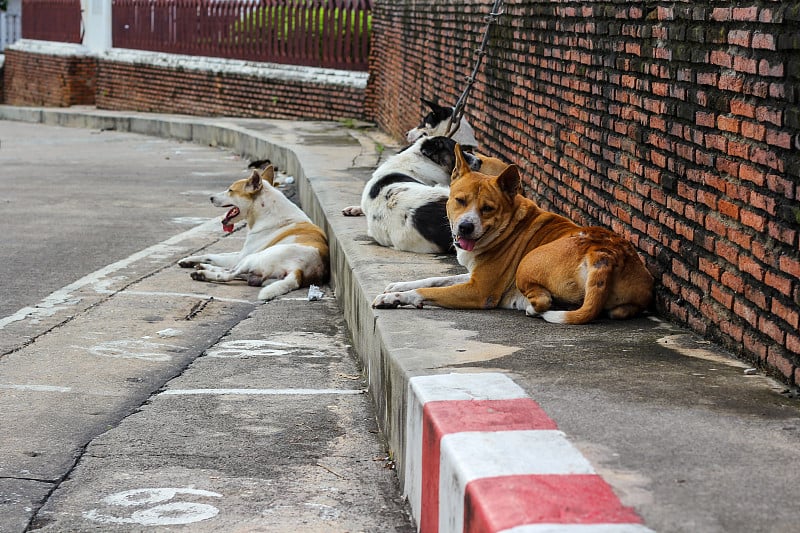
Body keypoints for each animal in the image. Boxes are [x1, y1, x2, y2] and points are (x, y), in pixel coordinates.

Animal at [180, 165, 328, 300]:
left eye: (230, 190)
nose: (210, 197)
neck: (267, 211)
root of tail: (299, 271)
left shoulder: (241, 256)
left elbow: (214, 256)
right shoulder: (241, 254)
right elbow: (214, 255)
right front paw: (188, 260)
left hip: (252, 258)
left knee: (228, 274)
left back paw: (203, 274)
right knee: (238, 273)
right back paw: (204, 268)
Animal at [372, 143, 652, 324]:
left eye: (487, 208)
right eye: (460, 200)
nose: (465, 227)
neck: (508, 225)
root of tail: (605, 253)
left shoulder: (478, 291)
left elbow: (427, 291)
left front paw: (396, 298)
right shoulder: (472, 276)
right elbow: (432, 280)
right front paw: (397, 286)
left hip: (528, 263)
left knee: (543, 302)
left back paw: (530, 305)